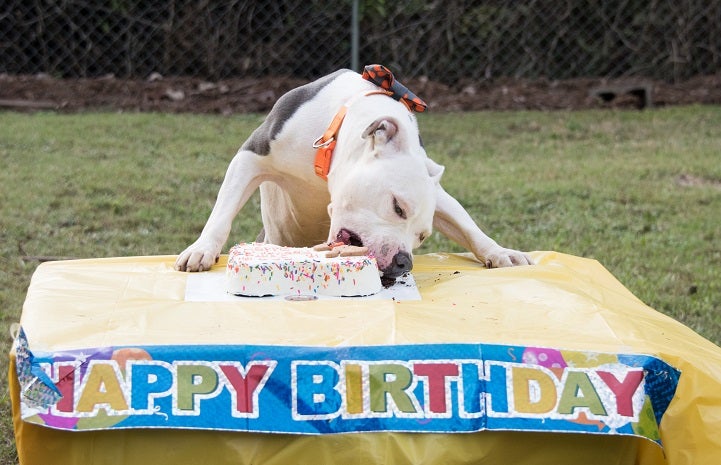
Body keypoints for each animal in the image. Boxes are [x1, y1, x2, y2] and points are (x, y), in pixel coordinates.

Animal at [174, 67, 532, 280]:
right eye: (398, 207)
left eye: (422, 236)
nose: (404, 262)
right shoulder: (252, 156)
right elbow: (223, 210)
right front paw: (202, 248)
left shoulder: (437, 192)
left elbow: (467, 226)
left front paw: (501, 252)